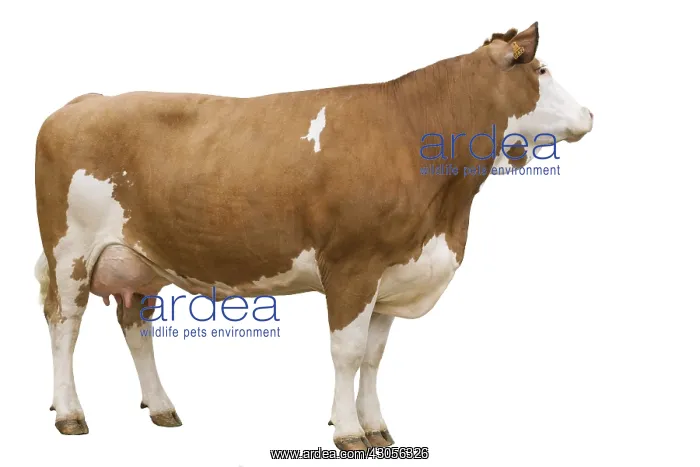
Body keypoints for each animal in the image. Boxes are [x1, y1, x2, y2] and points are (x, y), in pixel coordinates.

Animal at [34, 22, 593, 450]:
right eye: (542, 70)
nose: (589, 114)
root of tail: (83, 102)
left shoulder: (394, 271)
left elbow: (373, 356)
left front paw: (377, 426)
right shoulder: (352, 265)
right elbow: (346, 352)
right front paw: (347, 431)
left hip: (139, 260)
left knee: (136, 326)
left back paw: (162, 407)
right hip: (69, 252)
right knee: (65, 325)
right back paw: (70, 413)